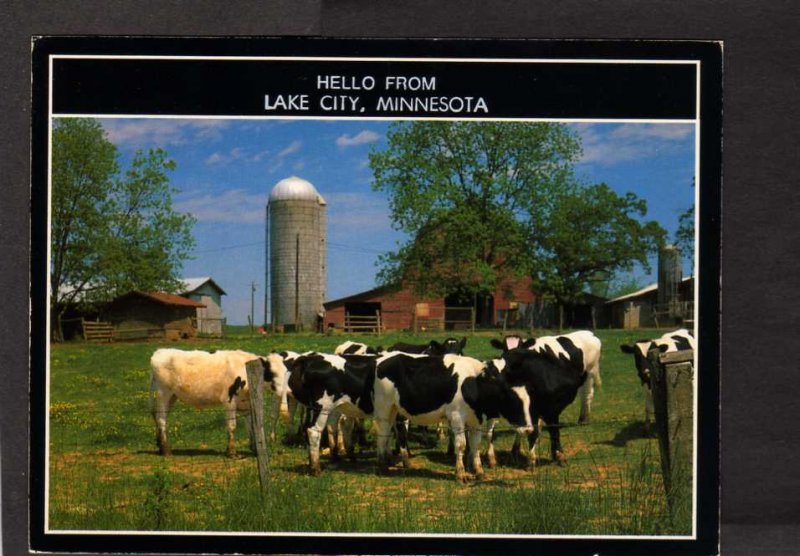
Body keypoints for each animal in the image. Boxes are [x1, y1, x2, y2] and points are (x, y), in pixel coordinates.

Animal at [150, 350, 288, 458]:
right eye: (271, 373)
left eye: (286, 372)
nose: (284, 390)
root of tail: (159, 352)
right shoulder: (229, 401)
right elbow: (232, 426)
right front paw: (232, 452)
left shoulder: (247, 405)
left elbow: (251, 427)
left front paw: (254, 449)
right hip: (163, 393)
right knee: (161, 420)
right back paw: (166, 450)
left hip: (172, 396)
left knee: (160, 418)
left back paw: (161, 447)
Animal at [372, 354, 536, 480]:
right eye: (513, 401)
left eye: (529, 401)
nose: (529, 429)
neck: (474, 383)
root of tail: (383, 360)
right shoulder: (457, 417)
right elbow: (461, 445)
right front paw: (461, 474)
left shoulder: (476, 420)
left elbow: (475, 445)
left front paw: (479, 472)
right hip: (384, 408)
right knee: (382, 435)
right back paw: (382, 466)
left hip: (395, 411)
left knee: (393, 433)